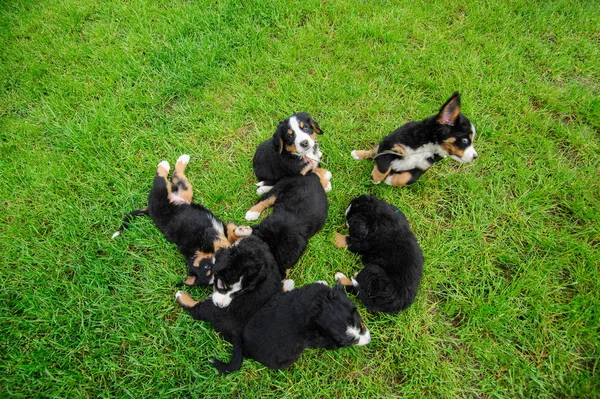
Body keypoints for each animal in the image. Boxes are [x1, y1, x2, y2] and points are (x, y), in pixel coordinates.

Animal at [112, 155, 251, 288]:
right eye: (208, 268)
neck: (196, 251)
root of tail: (149, 210)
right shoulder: (209, 235)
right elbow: (225, 242)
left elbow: (231, 234)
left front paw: (242, 231)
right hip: (167, 194)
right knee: (162, 179)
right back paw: (167, 164)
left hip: (180, 191)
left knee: (171, 177)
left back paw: (178, 160)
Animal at [176, 234, 284, 372]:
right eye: (221, 284)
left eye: (238, 294)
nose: (221, 306)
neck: (254, 252)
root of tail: (237, 331)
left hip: (211, 309)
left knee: (196, 310)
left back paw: (181, 295)